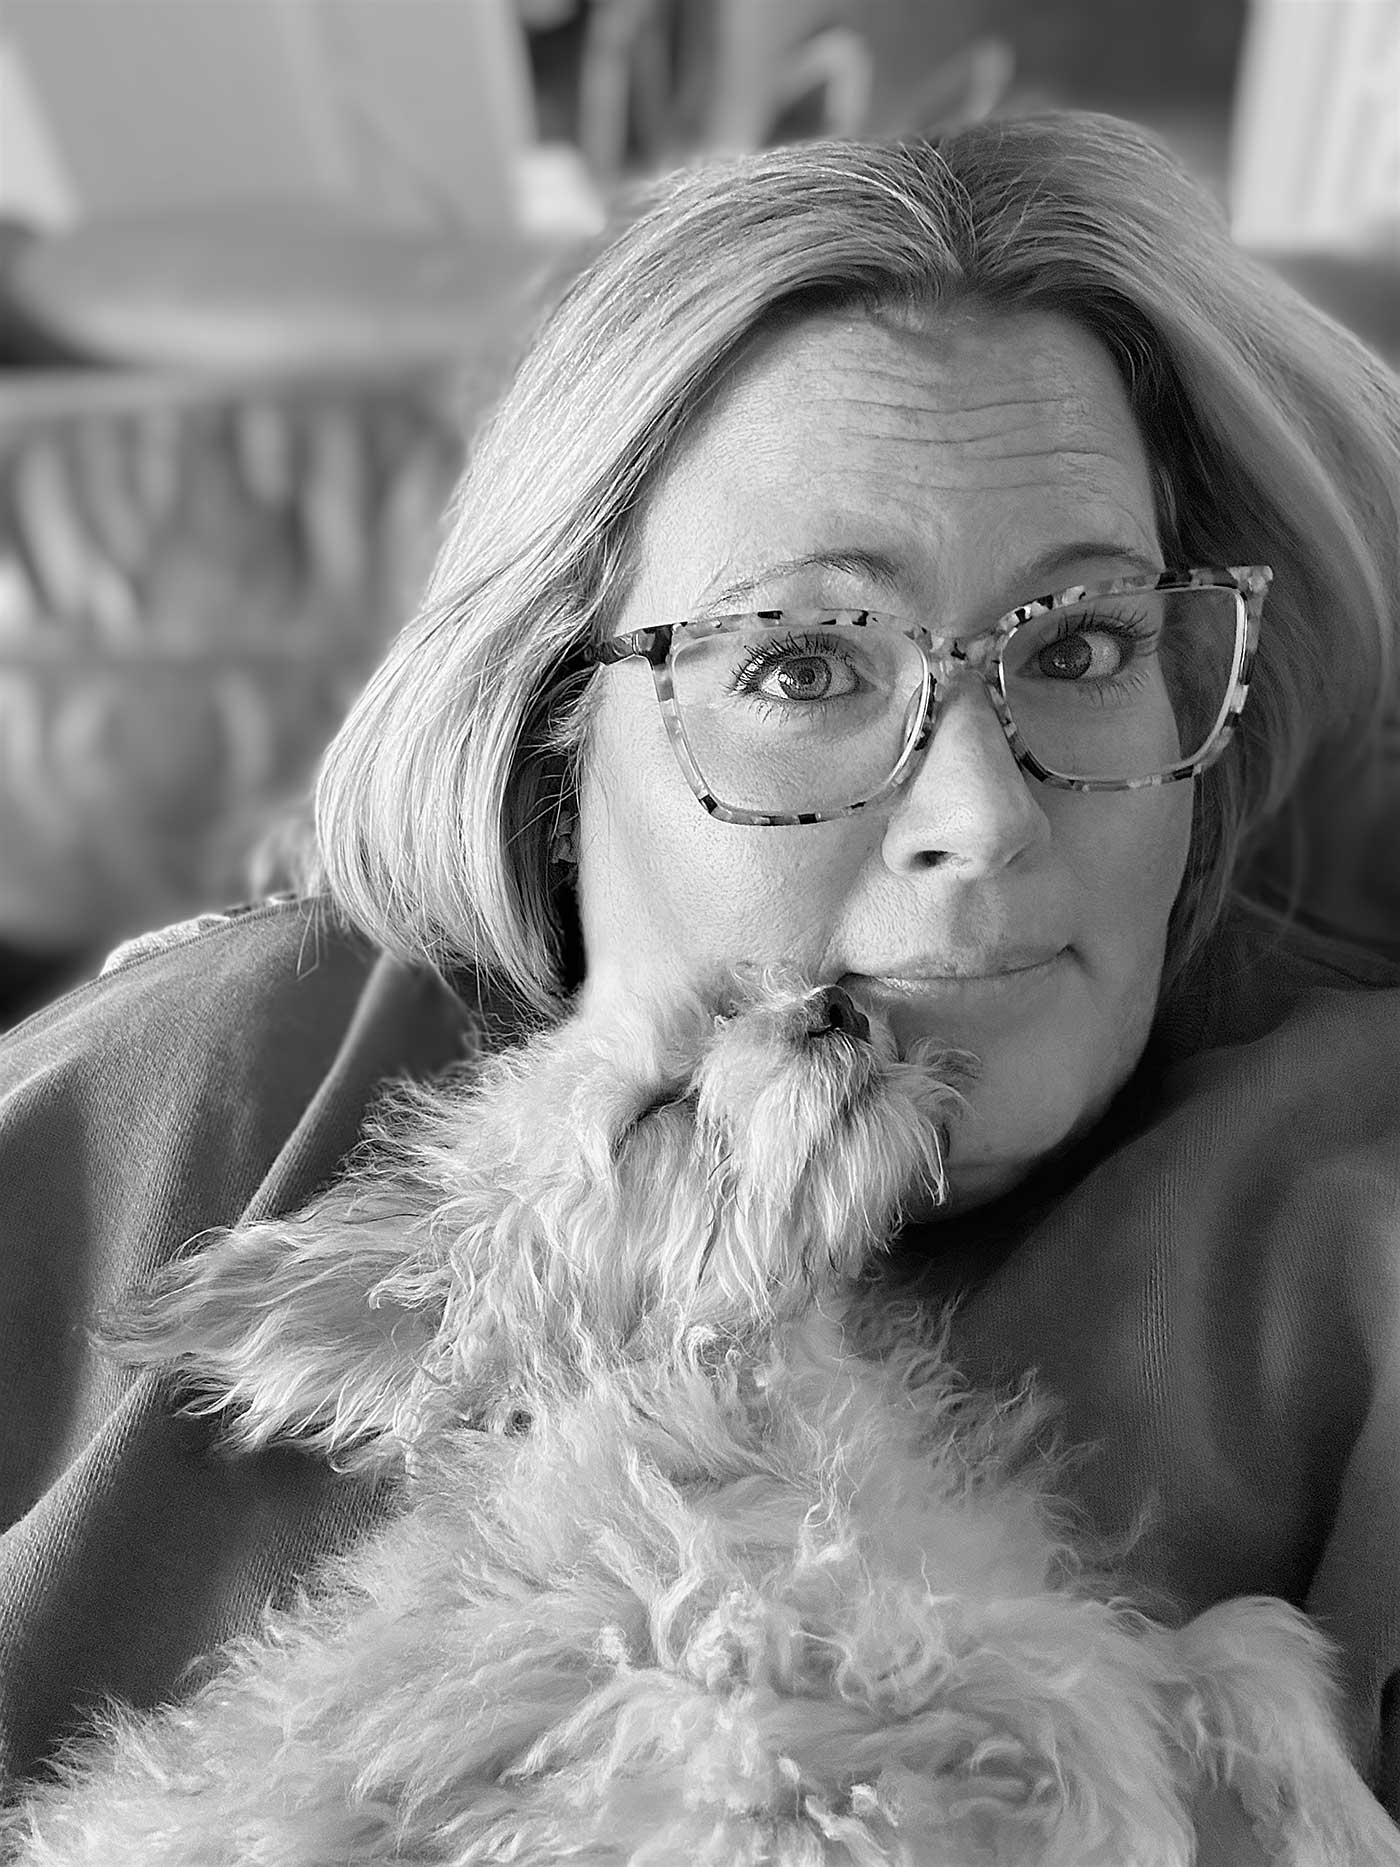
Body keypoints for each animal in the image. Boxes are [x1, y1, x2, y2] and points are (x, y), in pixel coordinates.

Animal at [2, 970, 1400, 1859]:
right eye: (655, 1114)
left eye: (739, 1006)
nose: (835, 1001)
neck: (761, 1404)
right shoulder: (698, 1759)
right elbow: (1066, 1707)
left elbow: (1228, 1635)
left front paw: (1332, 1807)